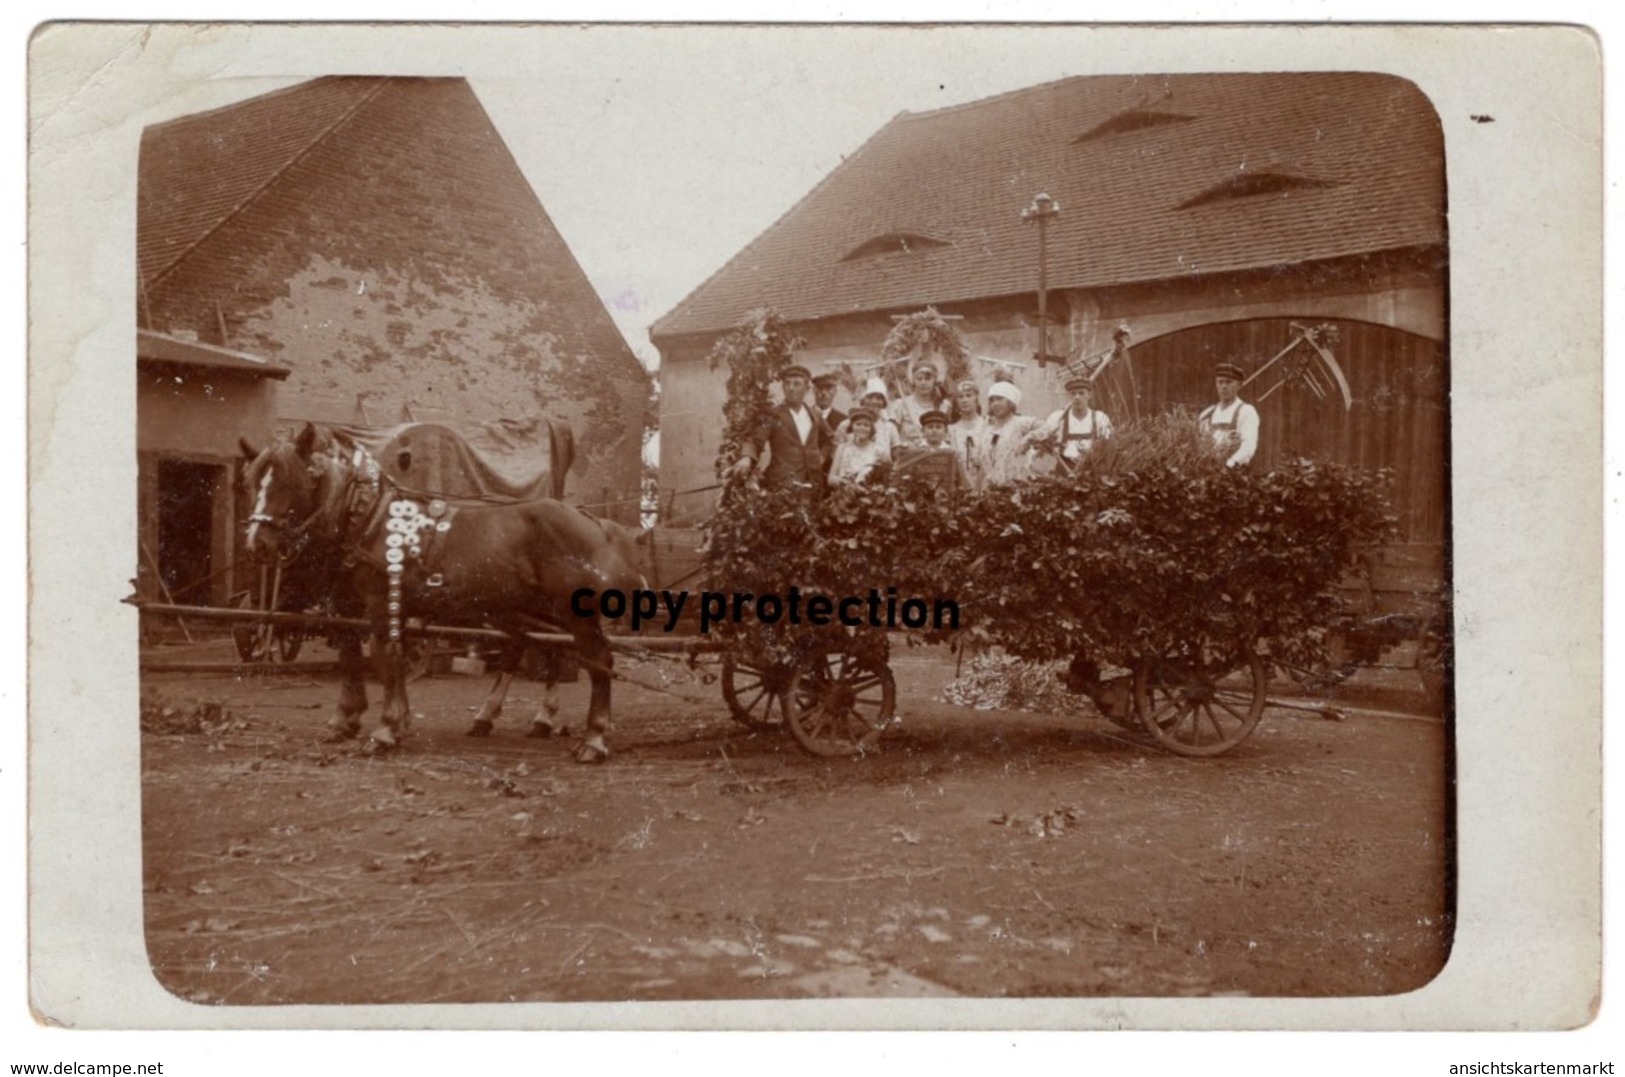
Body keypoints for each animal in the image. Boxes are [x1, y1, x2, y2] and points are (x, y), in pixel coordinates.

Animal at [242, 415, 646, 763]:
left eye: (289, 482)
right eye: (253, 482)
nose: (256, 543)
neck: (367, 519)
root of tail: (596, 522)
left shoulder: (379, 606)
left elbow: (385, 659)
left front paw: (384, 730)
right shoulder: (353, 605)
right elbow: (357, 656)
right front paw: (365, 721)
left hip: (574, 614)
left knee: (596, 661)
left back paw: (593, 739)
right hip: (534, 608)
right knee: (542, 650)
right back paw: (519, 718)